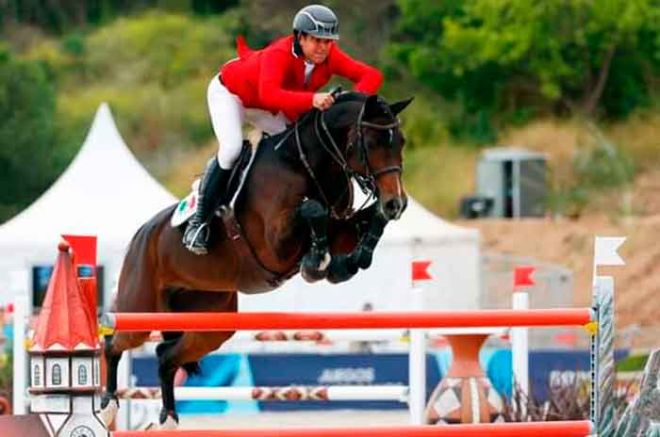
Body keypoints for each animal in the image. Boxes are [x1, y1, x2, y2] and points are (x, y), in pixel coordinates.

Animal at [100, 90, 410, 428]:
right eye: (373, 142)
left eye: (401, 141)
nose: (397, 203)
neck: (308, 165)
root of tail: (141, 234)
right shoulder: (275, 243)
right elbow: (313, 210)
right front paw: (318, 262)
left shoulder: (340, 227)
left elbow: (363, 222)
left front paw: (350, 258)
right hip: (139, 309)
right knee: (114, 343)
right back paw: (108, 404)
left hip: (211, 323)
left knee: (165, 356)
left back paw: (168, 416)